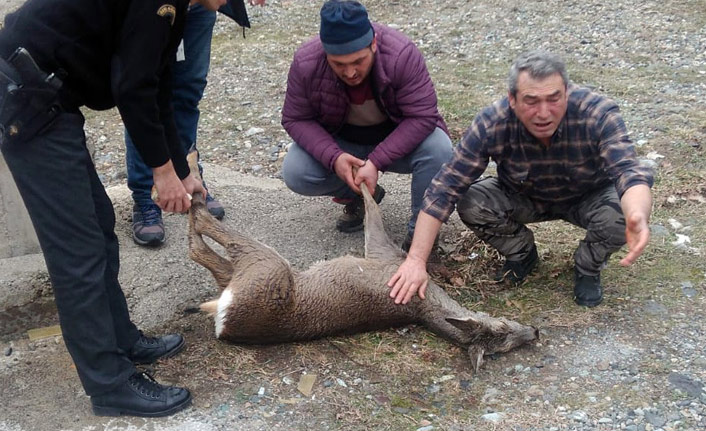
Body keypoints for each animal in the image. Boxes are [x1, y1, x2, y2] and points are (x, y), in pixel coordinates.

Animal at [184, 156, 536, 372]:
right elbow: (369, 204)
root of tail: (224, 322)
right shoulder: (387, 257)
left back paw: (193, 188)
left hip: (265, 270)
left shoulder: (386, 256)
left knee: (199, 246)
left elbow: (371, 213)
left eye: (503, 342)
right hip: (255, 273)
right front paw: (359, 173)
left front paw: (362, 176)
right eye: (503, 328)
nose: (534, 331)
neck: (422, 302)